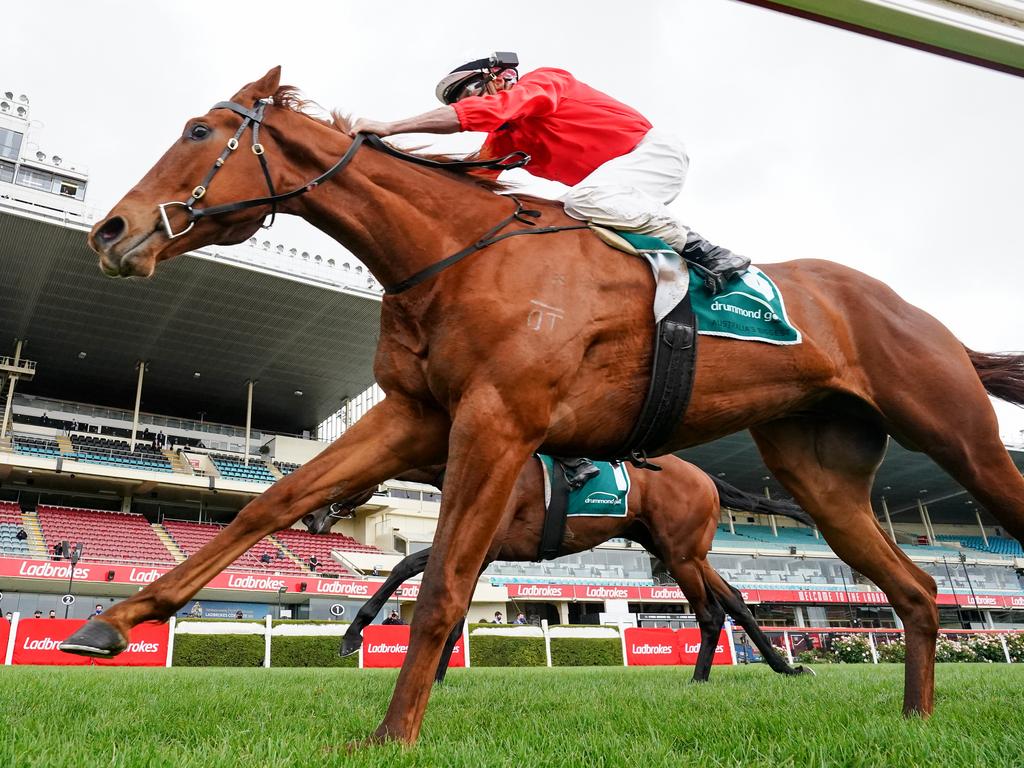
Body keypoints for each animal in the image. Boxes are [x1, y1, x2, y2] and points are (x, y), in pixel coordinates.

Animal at [313, 454, 815, 684]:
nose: (313, 518)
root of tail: (705, 476)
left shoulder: (484, 545)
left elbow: (402, 564)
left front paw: (352, 634)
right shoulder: (482, 554)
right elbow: (453, 619)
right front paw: (434, 677)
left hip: (680, 554)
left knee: (711, 612)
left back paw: (698, 679)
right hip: (683, 552)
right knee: (736, 600)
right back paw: (784, 668)